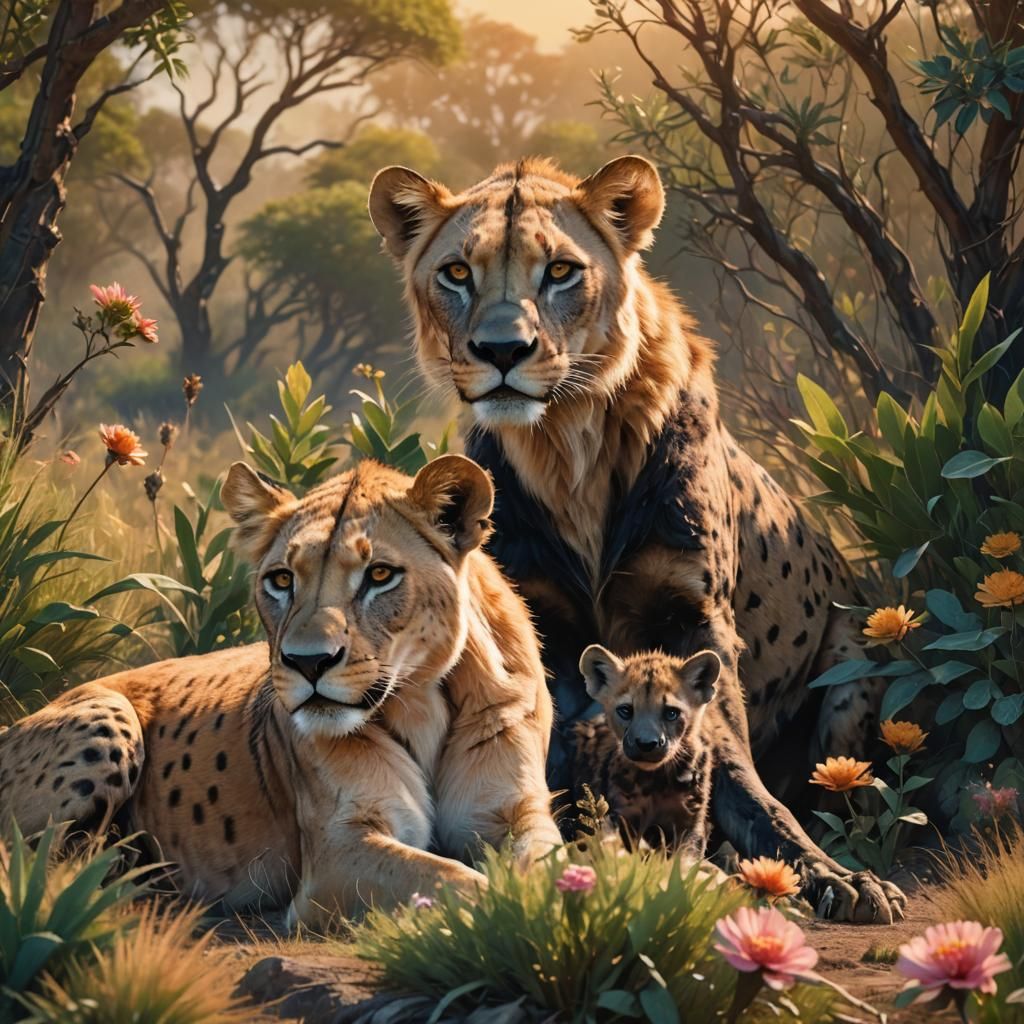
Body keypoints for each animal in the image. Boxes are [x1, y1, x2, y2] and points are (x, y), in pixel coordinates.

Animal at [0, 455, 561, 927]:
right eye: (282, 579)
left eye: (380, 574)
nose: (308, 662)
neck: (422, 701)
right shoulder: (336, 854)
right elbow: (457, 880)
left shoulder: (513, 811)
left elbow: (551, 864)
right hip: (109, 715)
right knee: (31, 864)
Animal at [368, 155, 905, 923]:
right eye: (457, 273)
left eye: (561, 271)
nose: (502, 350)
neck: (567, 448)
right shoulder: (542, 625)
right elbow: (553, 757)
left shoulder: (693, 615)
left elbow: (731, 763)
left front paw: (828, 876)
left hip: (857, 644)